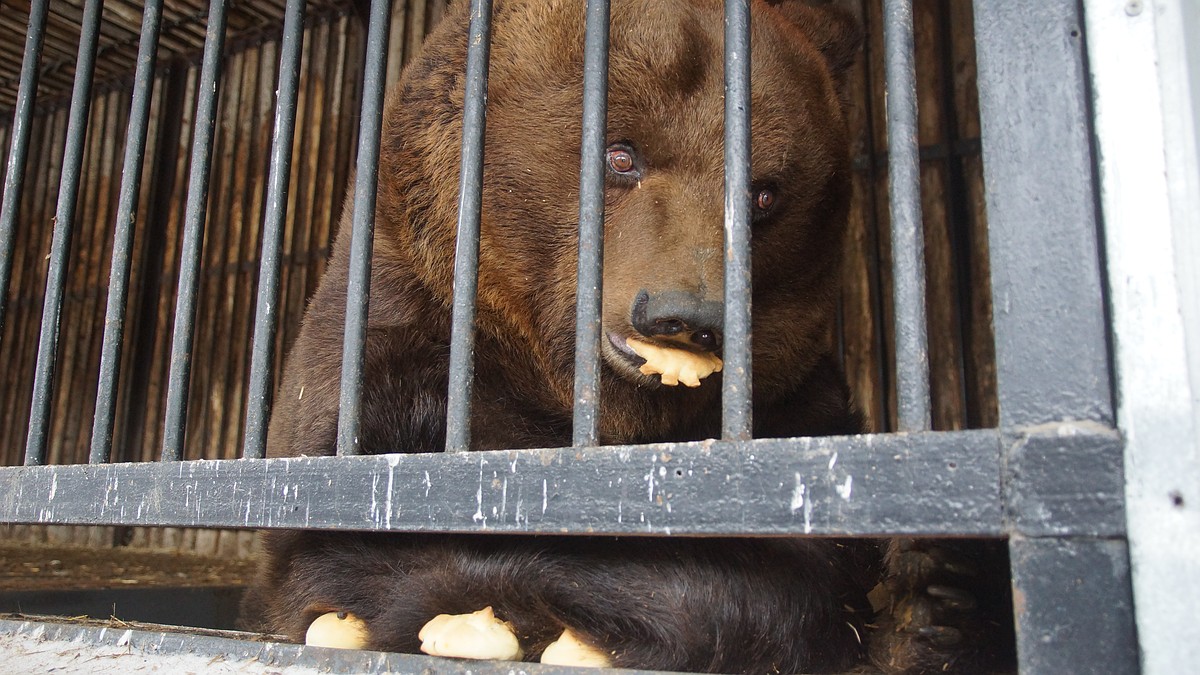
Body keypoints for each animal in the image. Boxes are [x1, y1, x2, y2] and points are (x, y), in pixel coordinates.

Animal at [236, 1, 1003, 672]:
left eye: (765, 193)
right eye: (622, 155)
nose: (684, 314)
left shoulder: (789, 400)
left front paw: (934, 594)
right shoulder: (388, 373)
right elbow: (371, 545)